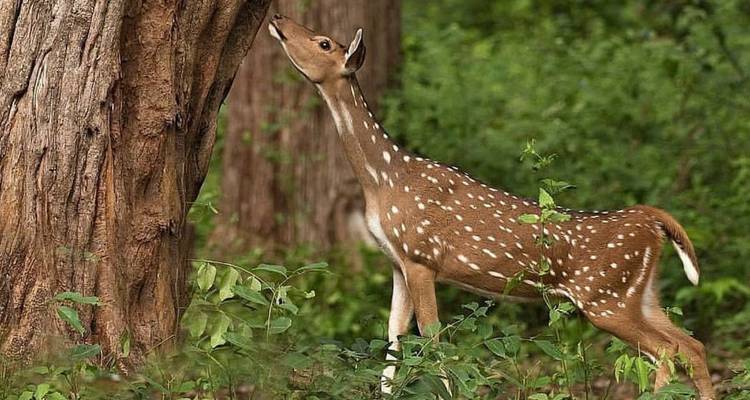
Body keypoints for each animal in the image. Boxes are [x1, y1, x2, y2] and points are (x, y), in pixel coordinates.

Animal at [268, 14, 715, 399]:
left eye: (324, 42)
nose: (277, 18)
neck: (383, 180)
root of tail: (651, 218)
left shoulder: (421, 256)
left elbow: (434, 343)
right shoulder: (397, 261)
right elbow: (393, 345)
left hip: (606, 297)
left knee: (669, 351)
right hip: (640, 293)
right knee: (692, 345)